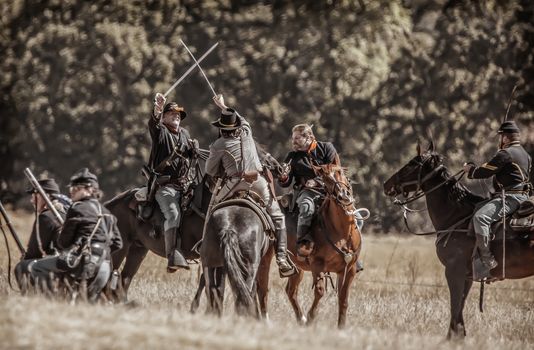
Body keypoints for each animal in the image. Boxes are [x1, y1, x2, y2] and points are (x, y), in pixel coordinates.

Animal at [256, 160, 364, 330]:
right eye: (325, 178)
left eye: (340, 172)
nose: (343, 195)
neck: (341, 231)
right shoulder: (317, 265)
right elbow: (319, 291)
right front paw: (311, 319)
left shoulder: (349, 269)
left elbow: (343, 299)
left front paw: (341, 327)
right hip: (265, 257)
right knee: (262, 287)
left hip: (297, 267)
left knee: (291, 291)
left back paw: (300, 318)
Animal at [386, 140, 534, 340]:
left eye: (412, 163)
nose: (386, 184)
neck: (457, 216)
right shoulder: (466, 275)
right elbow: (460, 305)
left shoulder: (453, 270)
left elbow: (455, 305)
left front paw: (452, 337)